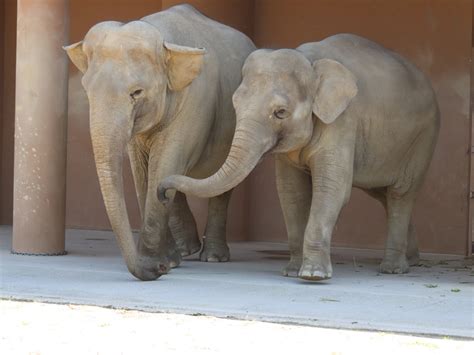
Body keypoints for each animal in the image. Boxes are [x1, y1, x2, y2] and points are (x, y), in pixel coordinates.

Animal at [65, 3, 256, 280]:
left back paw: (212, 257)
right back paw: (186, 251)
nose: (158, 270)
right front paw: (168, 262)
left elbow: (164, 163)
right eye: (87, 91)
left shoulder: (194, 103)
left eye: (136, 92)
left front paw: (156, 263)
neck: (163, 39)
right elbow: (143, 173)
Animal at [160, 34, 440, 282]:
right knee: (382, 194)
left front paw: (313, 275)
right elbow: (292, 192)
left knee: (400, 194)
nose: (162, 190)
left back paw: (392, 269)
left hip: (423, 139)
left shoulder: (343, 121)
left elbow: (331, 189)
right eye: (235, 104)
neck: (310, 62)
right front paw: (292, 271)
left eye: (280, 112)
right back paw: (411, 260)